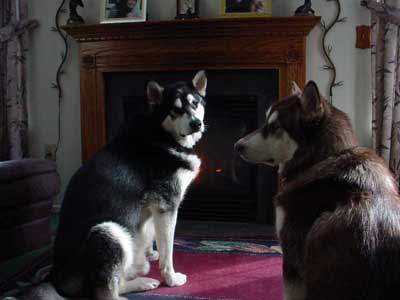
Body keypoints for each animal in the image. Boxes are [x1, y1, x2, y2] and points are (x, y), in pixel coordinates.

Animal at [48, 71, 208, 300]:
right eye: (175, 109)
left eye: (195, 103)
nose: (196, 123)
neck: (163, 134)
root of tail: (57, 277)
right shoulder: (167, 206)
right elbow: (168, 252)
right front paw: (170, 278)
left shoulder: (152, 209)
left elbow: (151, 236)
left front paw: (150, 254)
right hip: (109, 231)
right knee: (107, 292)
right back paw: (140, 283)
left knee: (121, 278)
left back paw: (140, 277)